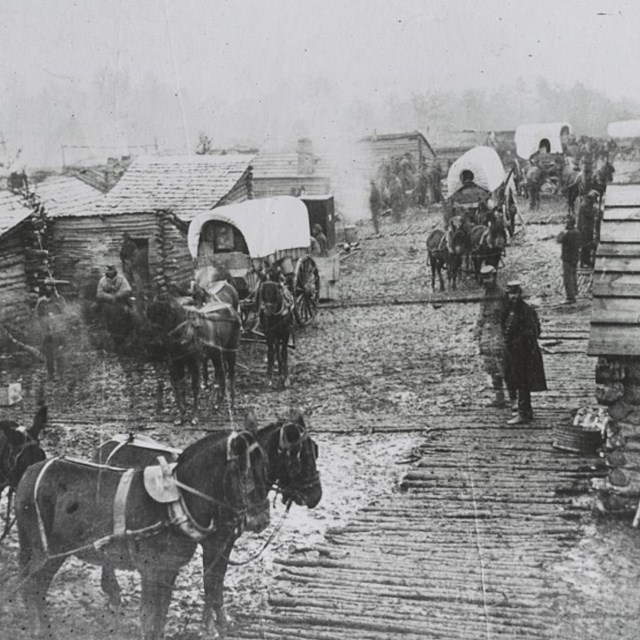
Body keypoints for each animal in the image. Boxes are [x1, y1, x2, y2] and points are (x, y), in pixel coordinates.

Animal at [15, 428, 270, 636]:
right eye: (244, 471)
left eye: (265, 467)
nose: (262, 519)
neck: (178, 502)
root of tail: (28, 473)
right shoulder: (153, 571)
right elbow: (151, 620)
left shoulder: (169, 570)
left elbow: (162, 618)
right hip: (46, 552)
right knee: (30, 586)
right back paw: (40, 630)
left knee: (35, 588)